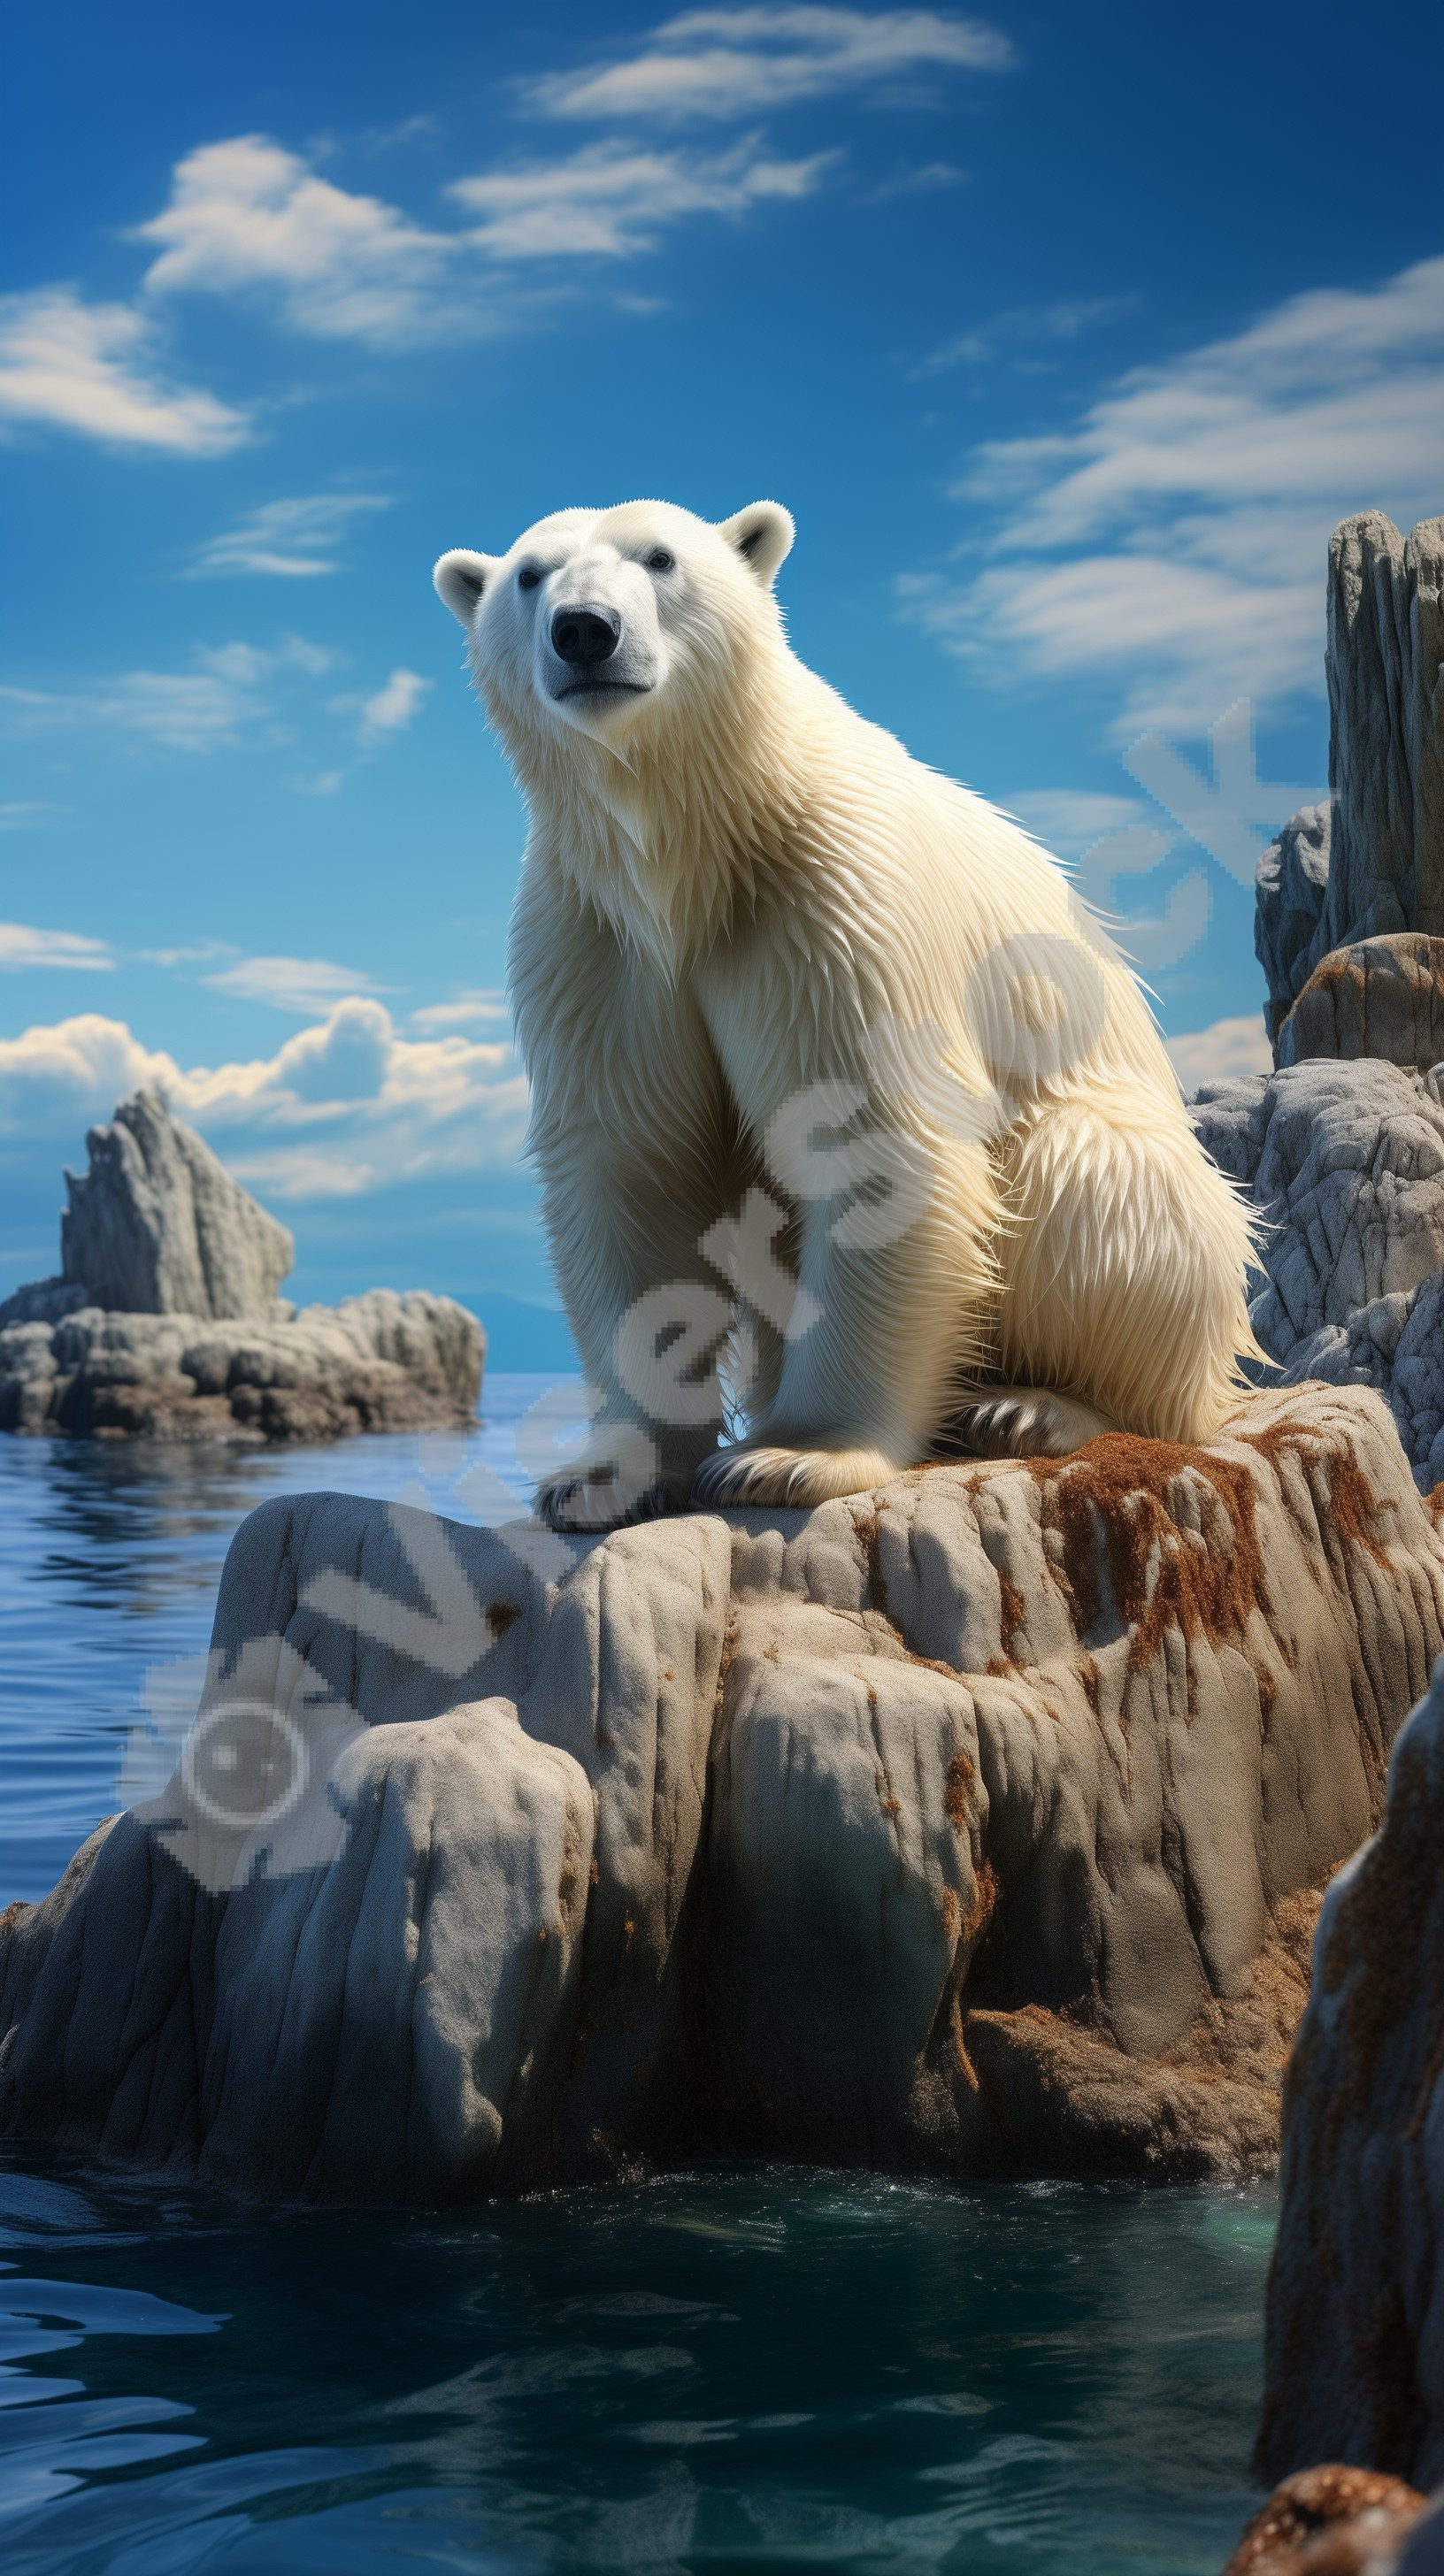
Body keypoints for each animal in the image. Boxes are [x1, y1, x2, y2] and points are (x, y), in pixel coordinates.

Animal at [435, 499, 1260, 1529]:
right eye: (530, 576)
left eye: (660, 558)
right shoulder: (595, 938)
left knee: (1090, 1177)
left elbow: (873, 1137)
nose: (585, 630)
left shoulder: (832, 899)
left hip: (1137, 1196)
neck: (698, 851)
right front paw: (603, 1476)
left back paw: (1034, 1405)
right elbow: (632, 1167)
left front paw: (792, 1456)